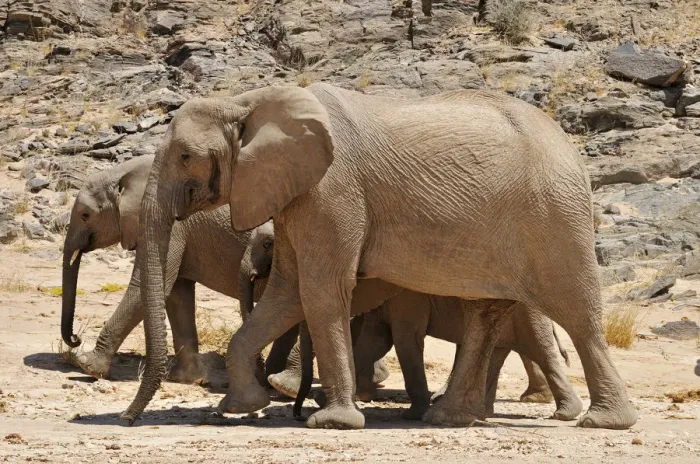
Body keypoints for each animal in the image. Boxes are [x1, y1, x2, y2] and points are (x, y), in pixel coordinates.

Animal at [123, 83, 636, 431]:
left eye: (185, 156)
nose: (128, 418)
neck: (248, 99)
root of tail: (569, 145)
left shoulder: (332, 189)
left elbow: (320, 289)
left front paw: (332, 423)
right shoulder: (299, 193)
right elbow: (289, 290)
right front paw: (241, 407)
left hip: (555, 216)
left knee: (578, 313)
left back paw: (603, 421)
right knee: (486, 315)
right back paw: (447, 418)